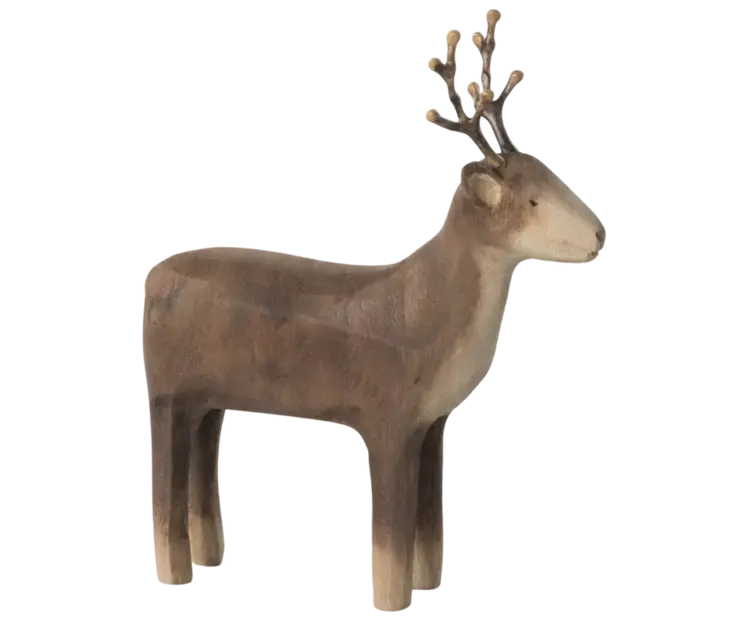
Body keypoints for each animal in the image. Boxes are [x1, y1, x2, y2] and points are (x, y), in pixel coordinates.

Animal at [143, 8, 606, 613]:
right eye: (530, 200)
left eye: (553, 176)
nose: (599, 235)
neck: (429, 317)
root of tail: (151, 279)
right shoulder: (387, 413)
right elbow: (390, 533)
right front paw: (391, 601)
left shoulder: (431, 420)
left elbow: (428, 520)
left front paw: (427, 585)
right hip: (167, 390)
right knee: (165, 481)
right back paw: (176, 575)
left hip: (208, 396)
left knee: (202, 446)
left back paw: (212, 560)